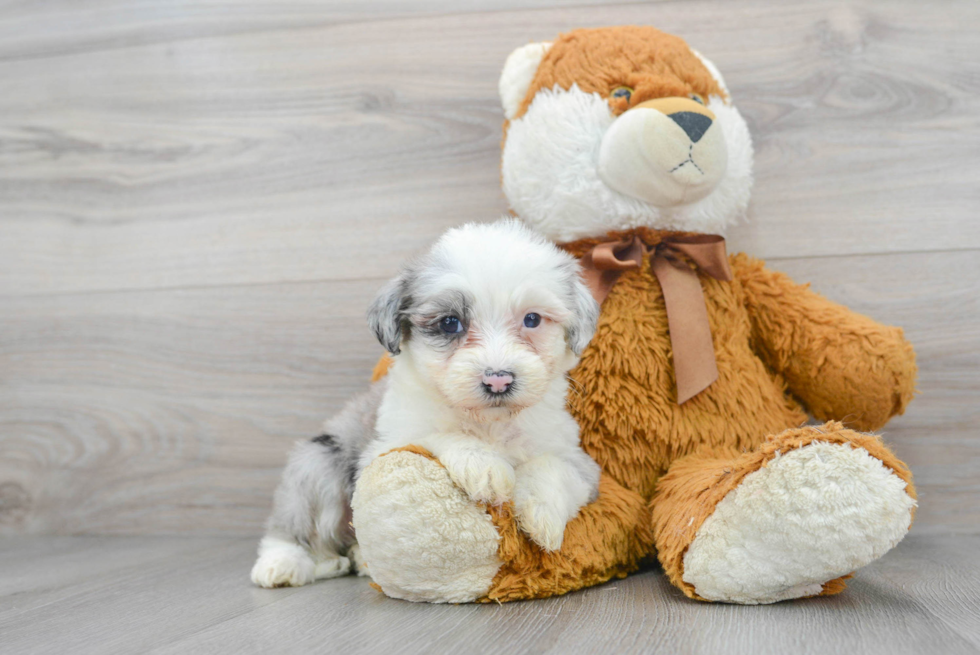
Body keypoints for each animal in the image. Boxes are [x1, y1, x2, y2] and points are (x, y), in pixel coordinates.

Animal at [249, 219, 600, 588]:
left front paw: (541, 513)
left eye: (532, 319)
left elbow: (554, 467)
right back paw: (284, 563)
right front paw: (483, 464)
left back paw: (354, 559)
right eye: (449, 322)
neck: (488, 424)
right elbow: (436, 435)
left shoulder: (580, 461)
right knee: (291, 526)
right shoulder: (385, 446)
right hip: (318, 463)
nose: (498, 380)